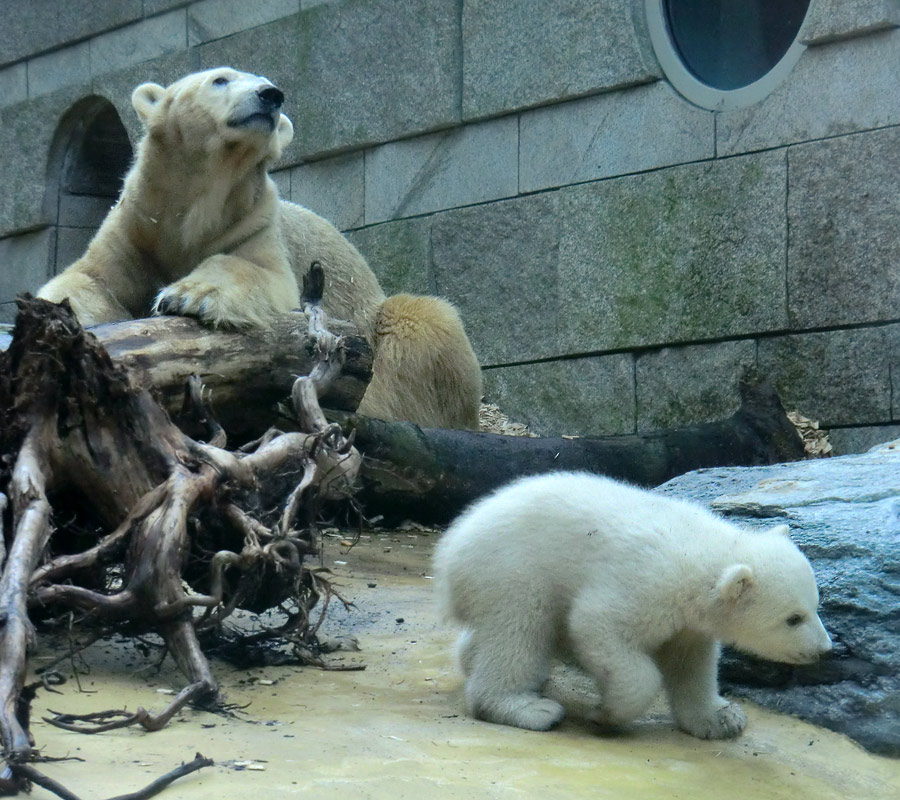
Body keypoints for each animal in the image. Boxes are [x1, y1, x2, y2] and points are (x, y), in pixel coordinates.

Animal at [38, 69, 486, 432]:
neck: (193, 208)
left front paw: (190, 296)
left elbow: (257, 270)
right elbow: (90, 277)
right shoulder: (137, 225)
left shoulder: (254, 223)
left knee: (423, 321)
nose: (271, 95)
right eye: (220, 79)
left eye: (266, 81)